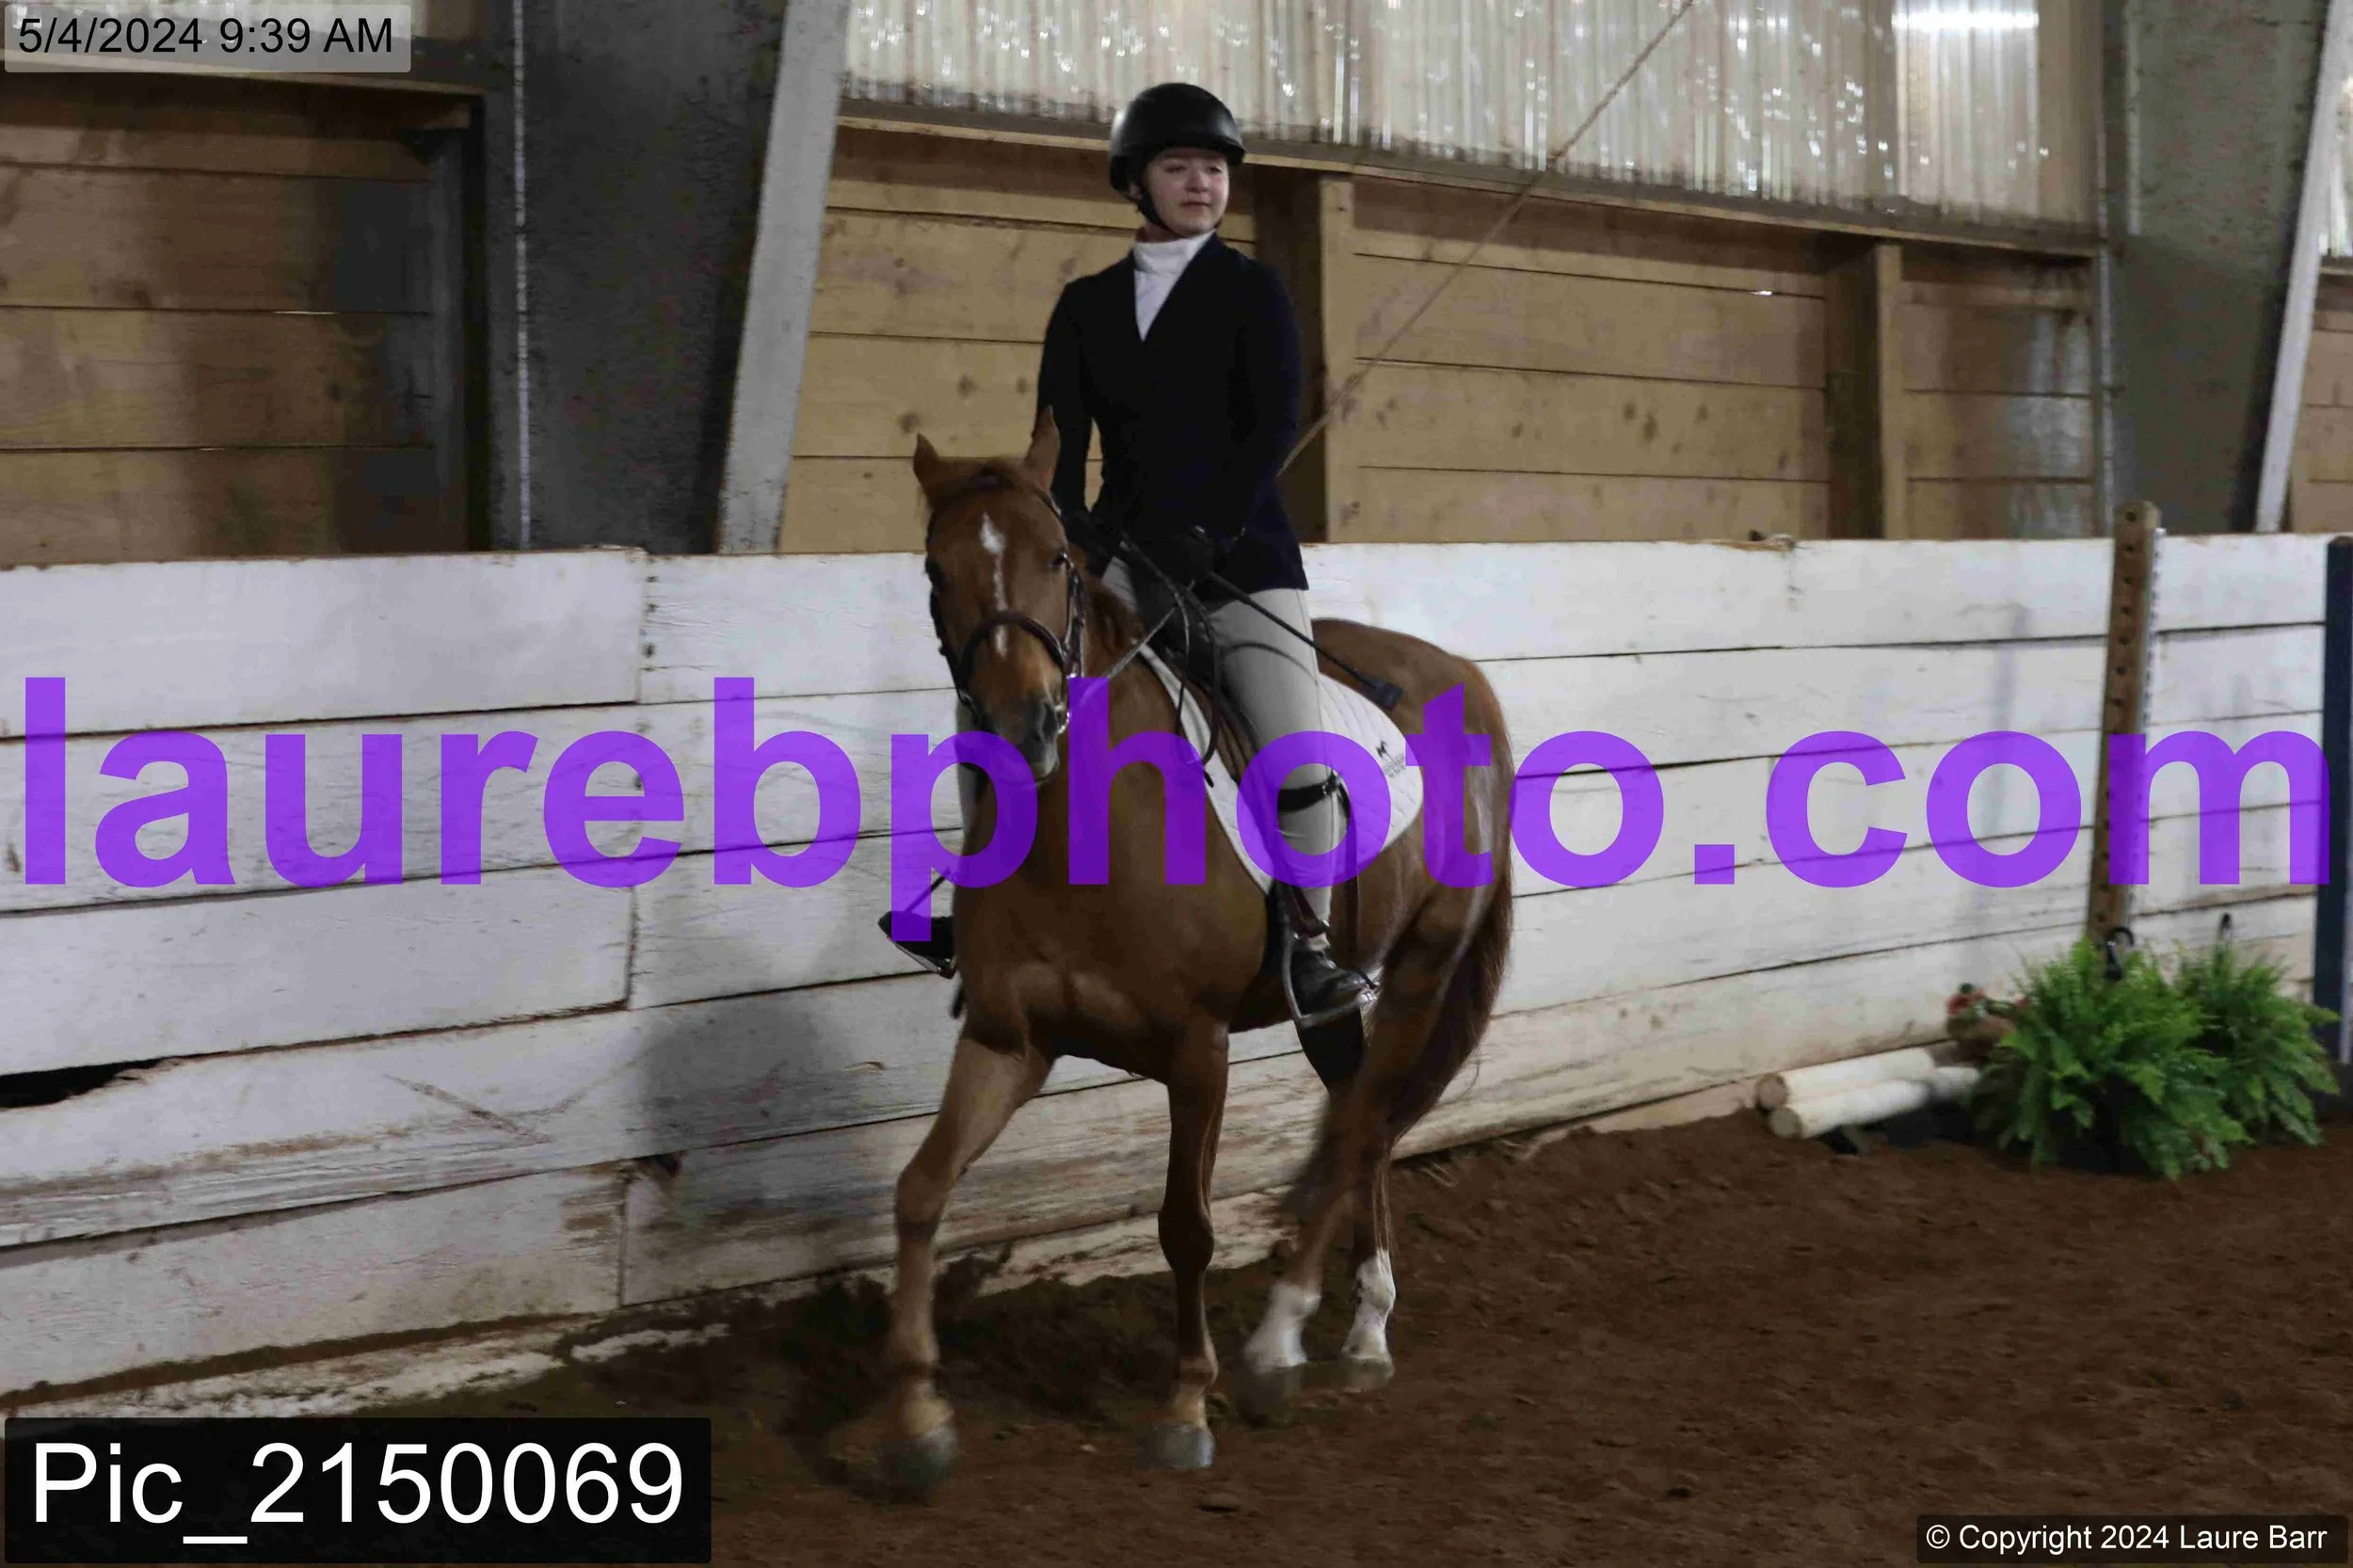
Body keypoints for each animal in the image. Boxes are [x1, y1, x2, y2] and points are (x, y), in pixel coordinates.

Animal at [872, 411, 1515, 1488]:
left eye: (1057, 559)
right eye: (933, 569)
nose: (1023, 723)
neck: (1085, 828)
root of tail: (1462, 673)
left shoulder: (1196, 1048)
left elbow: (1186, 1226)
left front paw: (1185, 1406)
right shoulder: (1009, 1040)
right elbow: (920, 1191)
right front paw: (916, 1418)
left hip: (1421, 968)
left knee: (1362, 1123)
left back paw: (1277, 1348)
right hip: (1334, 1002)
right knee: (1364, 1118)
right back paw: (1364, 1333)